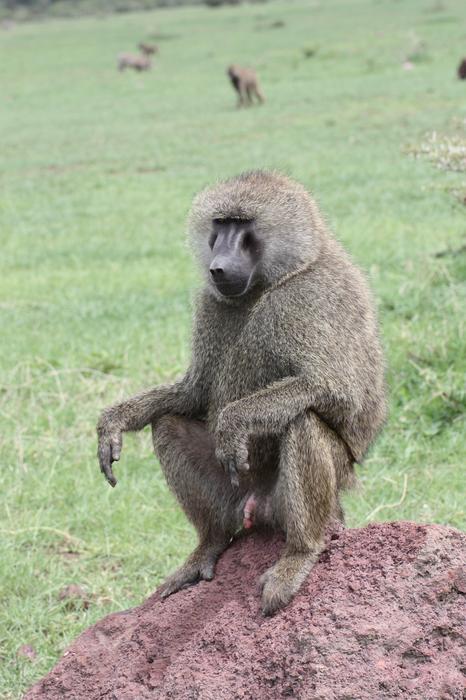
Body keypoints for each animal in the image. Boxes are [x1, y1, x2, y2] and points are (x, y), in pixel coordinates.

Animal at [97, 171, 386, 616]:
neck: (283, 272)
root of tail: (259, 507)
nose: (217, 266)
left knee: (303, 420)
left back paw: (300, 555)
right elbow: (193, 394)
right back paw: (208, 545)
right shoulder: (209, 302)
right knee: (167, 424)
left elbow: (335, 389)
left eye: (243, 226)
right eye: (220, 224)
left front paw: (233, 423)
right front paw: (116, 421)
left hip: (321, 488)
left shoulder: (308, 298)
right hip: (234, 493)